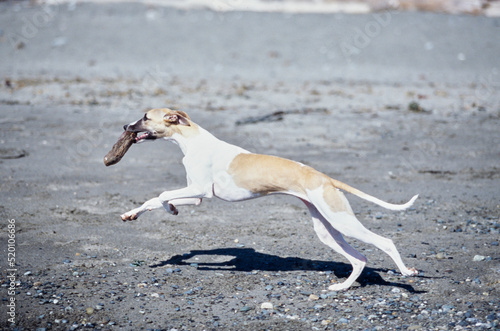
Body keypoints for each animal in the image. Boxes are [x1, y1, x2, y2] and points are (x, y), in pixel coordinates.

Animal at [121, 109, 418, 290]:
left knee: (385, 242)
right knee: (359, 259)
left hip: (342, 221)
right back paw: (342, 286)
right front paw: (136, 213)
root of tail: (325, 178)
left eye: (145, 117)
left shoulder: (200, 189)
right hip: (327, 228)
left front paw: (168, 208)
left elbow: (161, 195)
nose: (125, 126)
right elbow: (155, 199)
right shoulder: (196, 196)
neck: (193, 140)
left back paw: (407, 273)